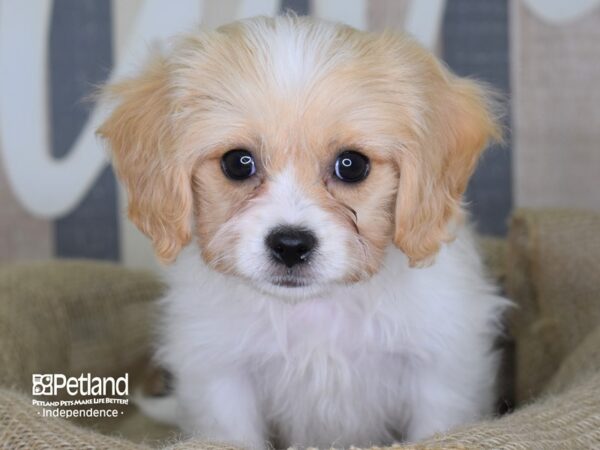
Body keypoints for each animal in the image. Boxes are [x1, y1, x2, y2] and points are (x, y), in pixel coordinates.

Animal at [99, 14, 510, 450]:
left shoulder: (441, 372)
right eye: (237, 162)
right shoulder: (221, 376)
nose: (291, 245)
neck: (315, 308)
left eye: (352, 165)